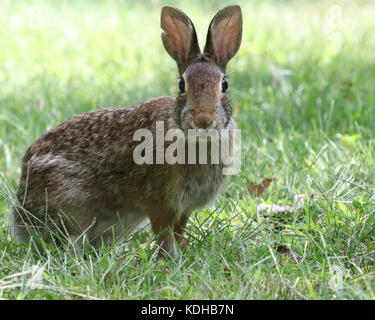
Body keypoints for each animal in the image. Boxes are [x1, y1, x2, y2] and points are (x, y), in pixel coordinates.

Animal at [8, 4, 245, 258]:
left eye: (224, 85)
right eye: (182, 85)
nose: (203, 119)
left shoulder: (185, 209)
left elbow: (178, 233)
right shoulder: (159, 203)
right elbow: (164, 235)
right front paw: (167, 260)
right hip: (72, 207)